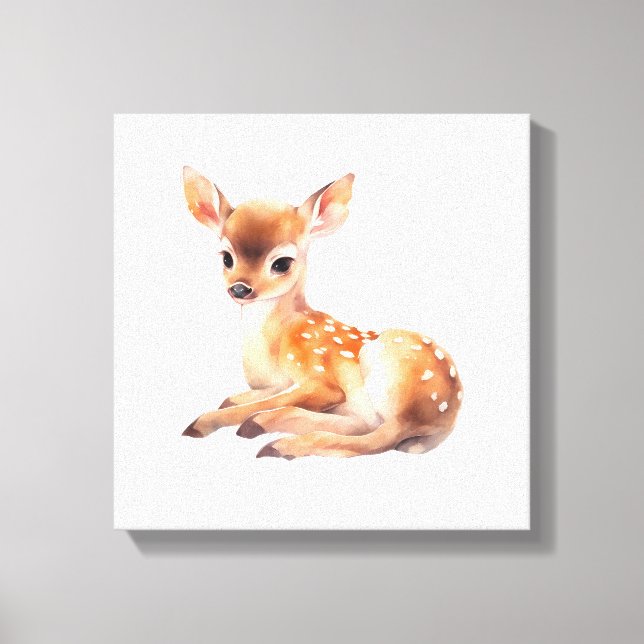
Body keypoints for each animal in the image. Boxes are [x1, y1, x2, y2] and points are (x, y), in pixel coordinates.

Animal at [181, 166, 462, 459]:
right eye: (226, 258)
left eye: (282, 263)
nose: (239, 288)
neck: (277, 341)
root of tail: (450, 412)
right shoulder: (279, 382)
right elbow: (251, 397)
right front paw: (223, 407)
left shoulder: (321, 379)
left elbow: (276, 399)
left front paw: (205, 422)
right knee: (363, 426)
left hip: (390, 372)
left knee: (381, 437)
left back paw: (272, 439)